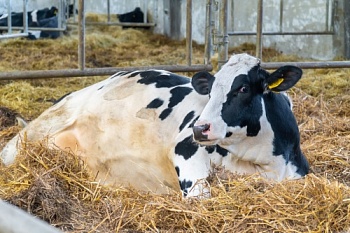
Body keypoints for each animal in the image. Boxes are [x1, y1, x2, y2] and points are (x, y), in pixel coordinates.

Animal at [0, 53, 308, 198]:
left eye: (243, 88)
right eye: (210, 91)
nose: (200, 129)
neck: (267, 160)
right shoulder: (185, 150)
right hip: (39, 129)